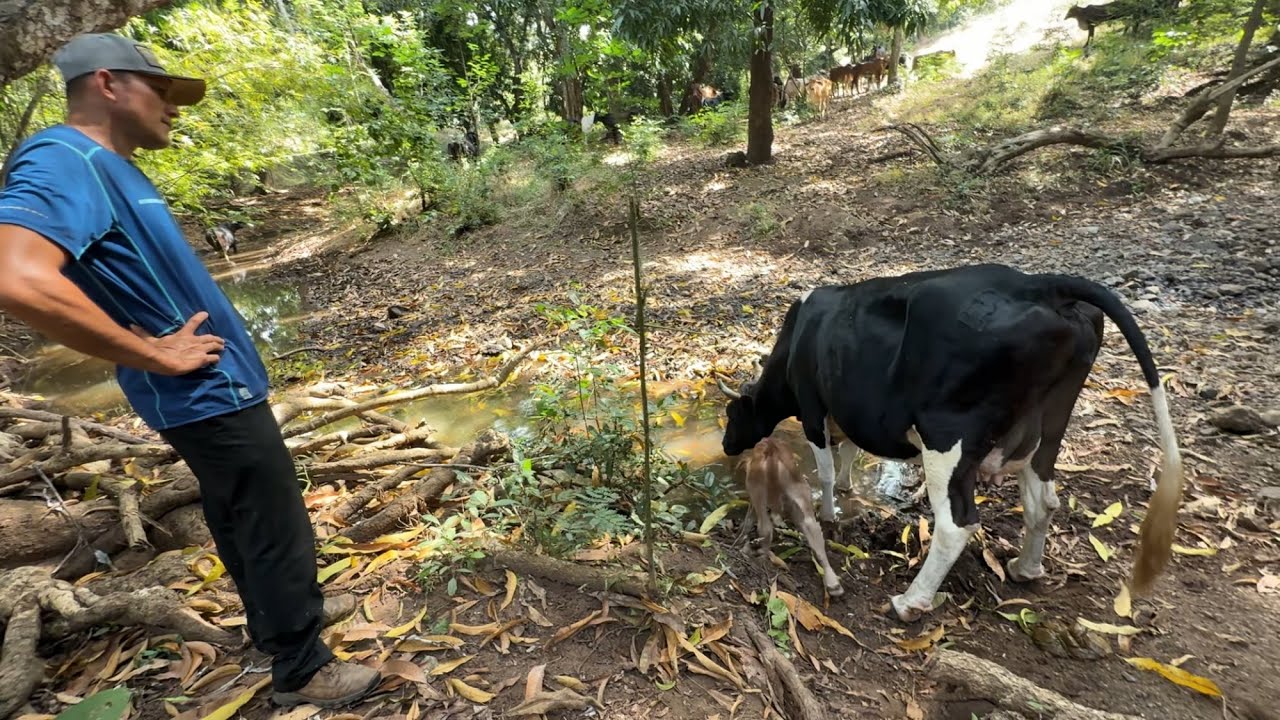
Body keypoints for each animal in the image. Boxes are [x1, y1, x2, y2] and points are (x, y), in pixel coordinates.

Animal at [740, 435, 844, 598]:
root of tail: (772, 450)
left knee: (765, 528)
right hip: (801, 494)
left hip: (757, 489)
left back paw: (760, 557)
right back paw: (833, 583)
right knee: (816, 537)